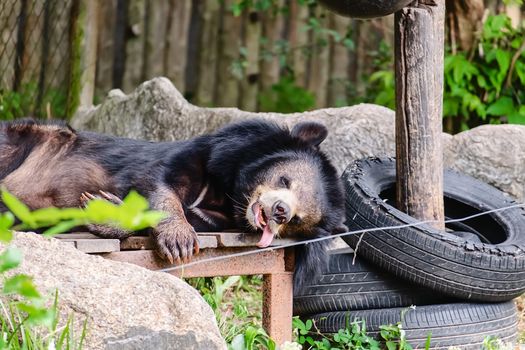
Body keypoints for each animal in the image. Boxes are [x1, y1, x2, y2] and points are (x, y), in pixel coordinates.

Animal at [1, 118, 348, 288]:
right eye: (285, 180)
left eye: (297, 219)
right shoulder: (207, 152)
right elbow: (160, 181)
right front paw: (179, 241)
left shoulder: (216, 217)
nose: (279, 211)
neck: (231, 190)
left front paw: (103, 209)